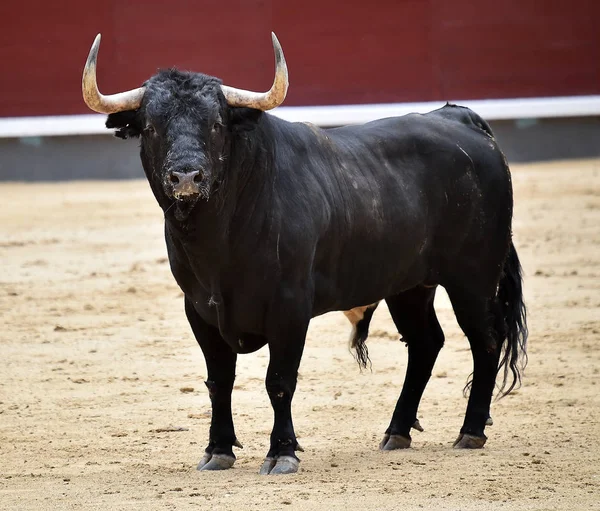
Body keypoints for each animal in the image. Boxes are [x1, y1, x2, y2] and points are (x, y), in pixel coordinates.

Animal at [105, 69, 528, 476]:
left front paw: (281, 454)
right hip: (409, 286)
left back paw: (470, 432)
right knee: (426, 343)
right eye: (151, 126)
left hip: (473, 278)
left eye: (215, 124)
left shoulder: (290, 307)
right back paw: (397, 432)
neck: (220, 237)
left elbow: (279, 381)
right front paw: (218, 451)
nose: (186, 177)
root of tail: (459, 118)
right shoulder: (200, 310)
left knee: (486, 341)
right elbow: (219, 381)